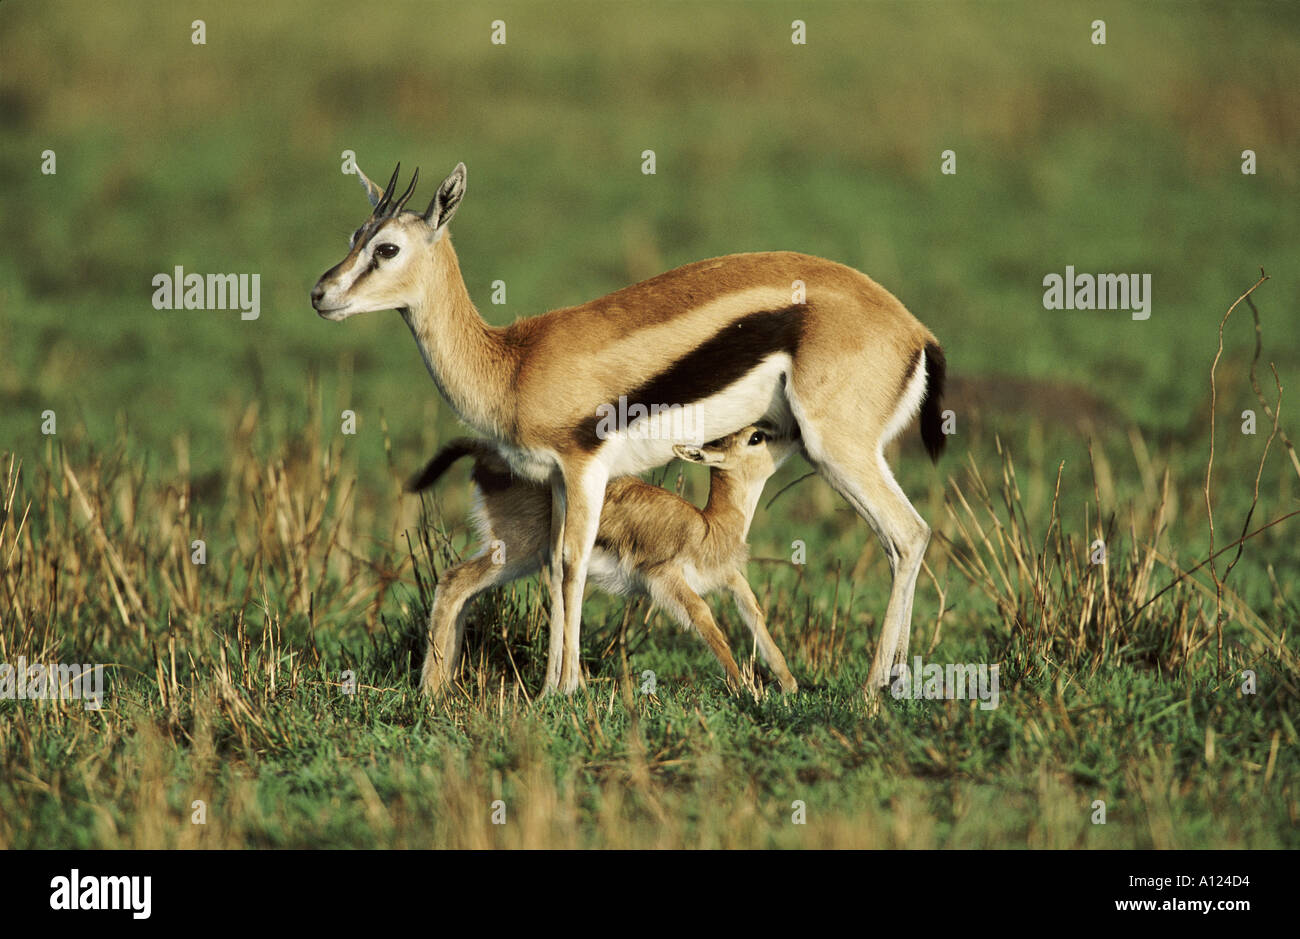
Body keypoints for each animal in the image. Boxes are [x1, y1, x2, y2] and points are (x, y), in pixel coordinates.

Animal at [410, 424, 800, 696]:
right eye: (756, 437)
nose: (796, 434)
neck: (709, 525)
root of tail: (486, 455)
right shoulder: (664, 578)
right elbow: (704, 616)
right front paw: (747, 689)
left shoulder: (729, 578)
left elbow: (754, 611)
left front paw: (789, 683)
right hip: (515, 554)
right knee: (453, 582)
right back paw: (431, 691)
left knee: (463, 592)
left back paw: (446, 683)